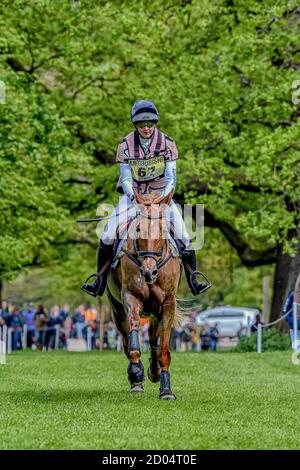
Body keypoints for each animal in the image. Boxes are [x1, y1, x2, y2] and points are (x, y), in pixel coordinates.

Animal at [105, 189, 180, 398]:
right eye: (138, 230)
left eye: (163, 230)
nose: (149, 272)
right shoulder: (131, 298)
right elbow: (133, 342)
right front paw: (136, 373)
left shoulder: (167, 304)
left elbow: (163, 349)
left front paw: (166, 390)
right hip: (117, 311)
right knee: (125, 341)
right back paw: (136, 381)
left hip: (155, 312)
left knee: (154, 339)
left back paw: (154, 372)